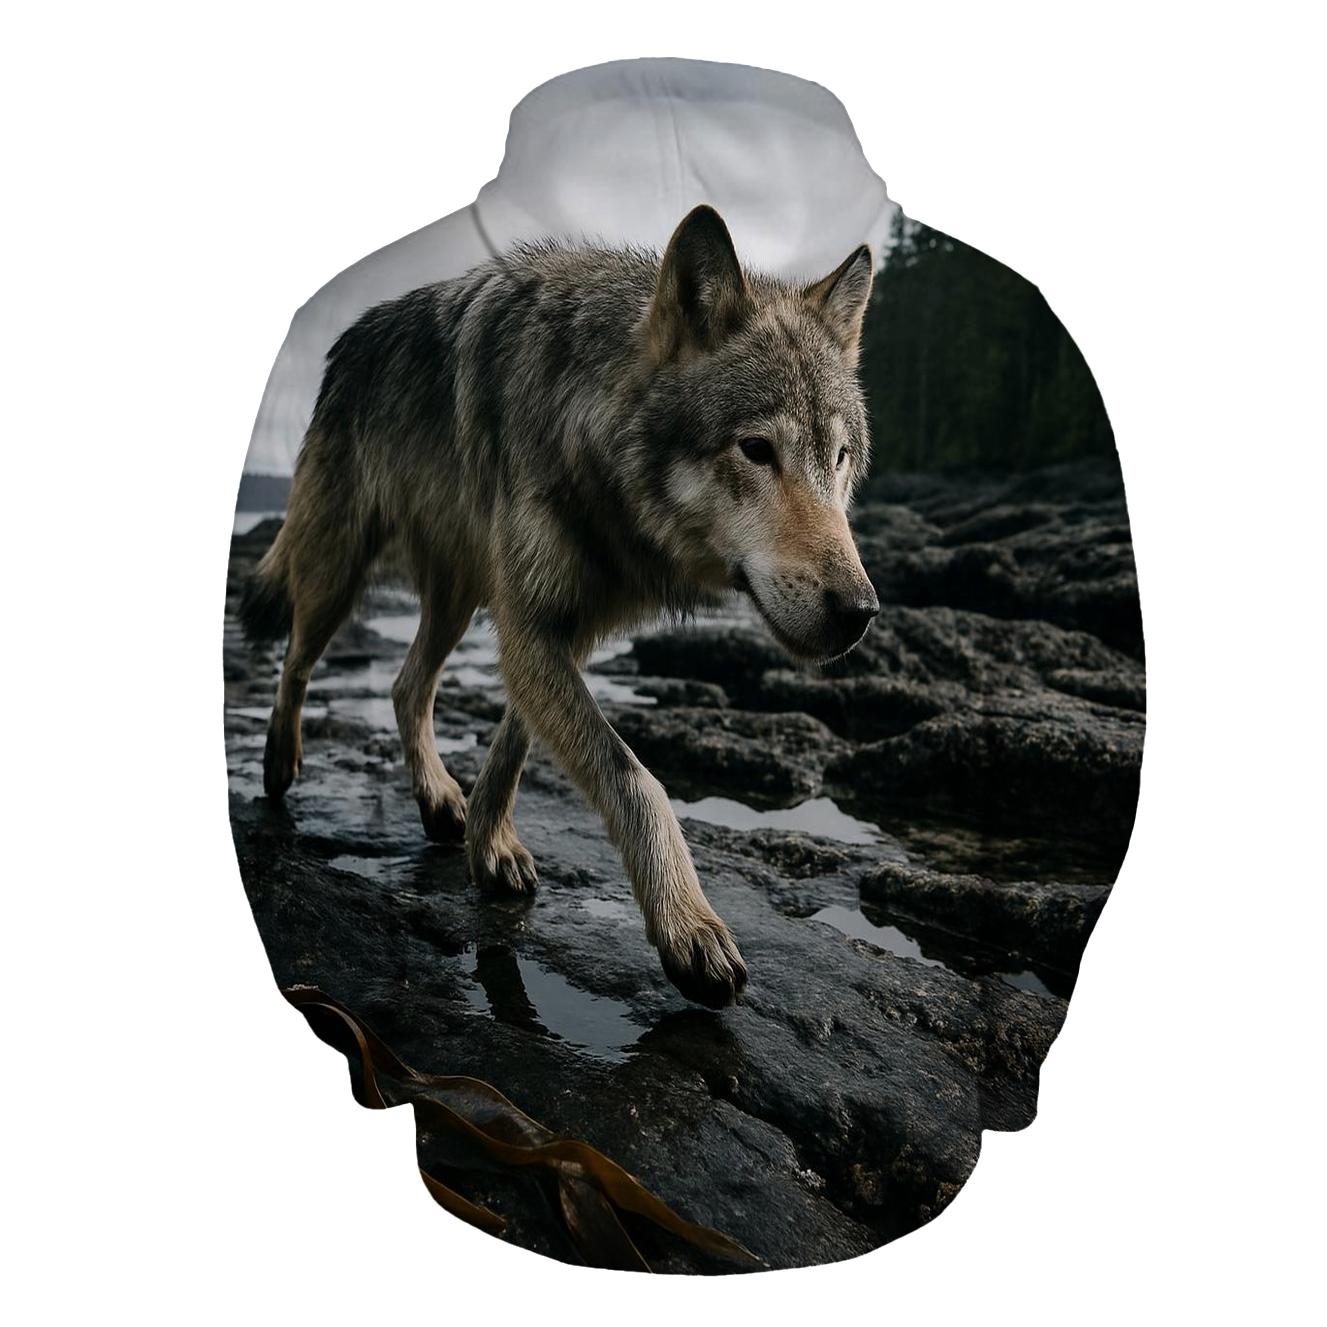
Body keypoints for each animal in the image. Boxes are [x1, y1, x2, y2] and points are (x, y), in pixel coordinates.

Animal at [240, 205, 879, 1007]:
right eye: (757, 449)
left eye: (839, 457)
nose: (860, 610)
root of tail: (345, 342)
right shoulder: (532, 625)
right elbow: (634, 779)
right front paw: (687, 924)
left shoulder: (558, 626)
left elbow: (514, 747)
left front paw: (488, 844)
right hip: (339, 567)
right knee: (297, 656)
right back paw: (278, 762)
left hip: (456, 597)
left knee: (405, 684)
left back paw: (436, 798)